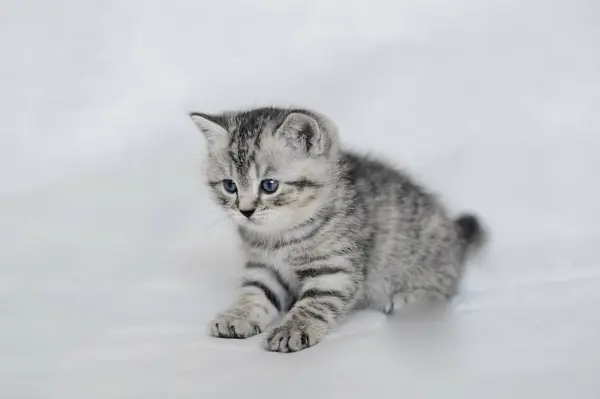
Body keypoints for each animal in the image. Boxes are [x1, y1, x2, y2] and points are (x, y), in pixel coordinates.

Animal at [190, 107, 486, 354]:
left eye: (269, 185)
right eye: (230, 186)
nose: (245, 211)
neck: (280, 236)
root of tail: (457, 238)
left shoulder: (335, 270)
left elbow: (313, 303)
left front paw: (292, 329)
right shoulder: (263, 267)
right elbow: (254, 293)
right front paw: (238, 315)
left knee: (446, 287)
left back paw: (413, 297)